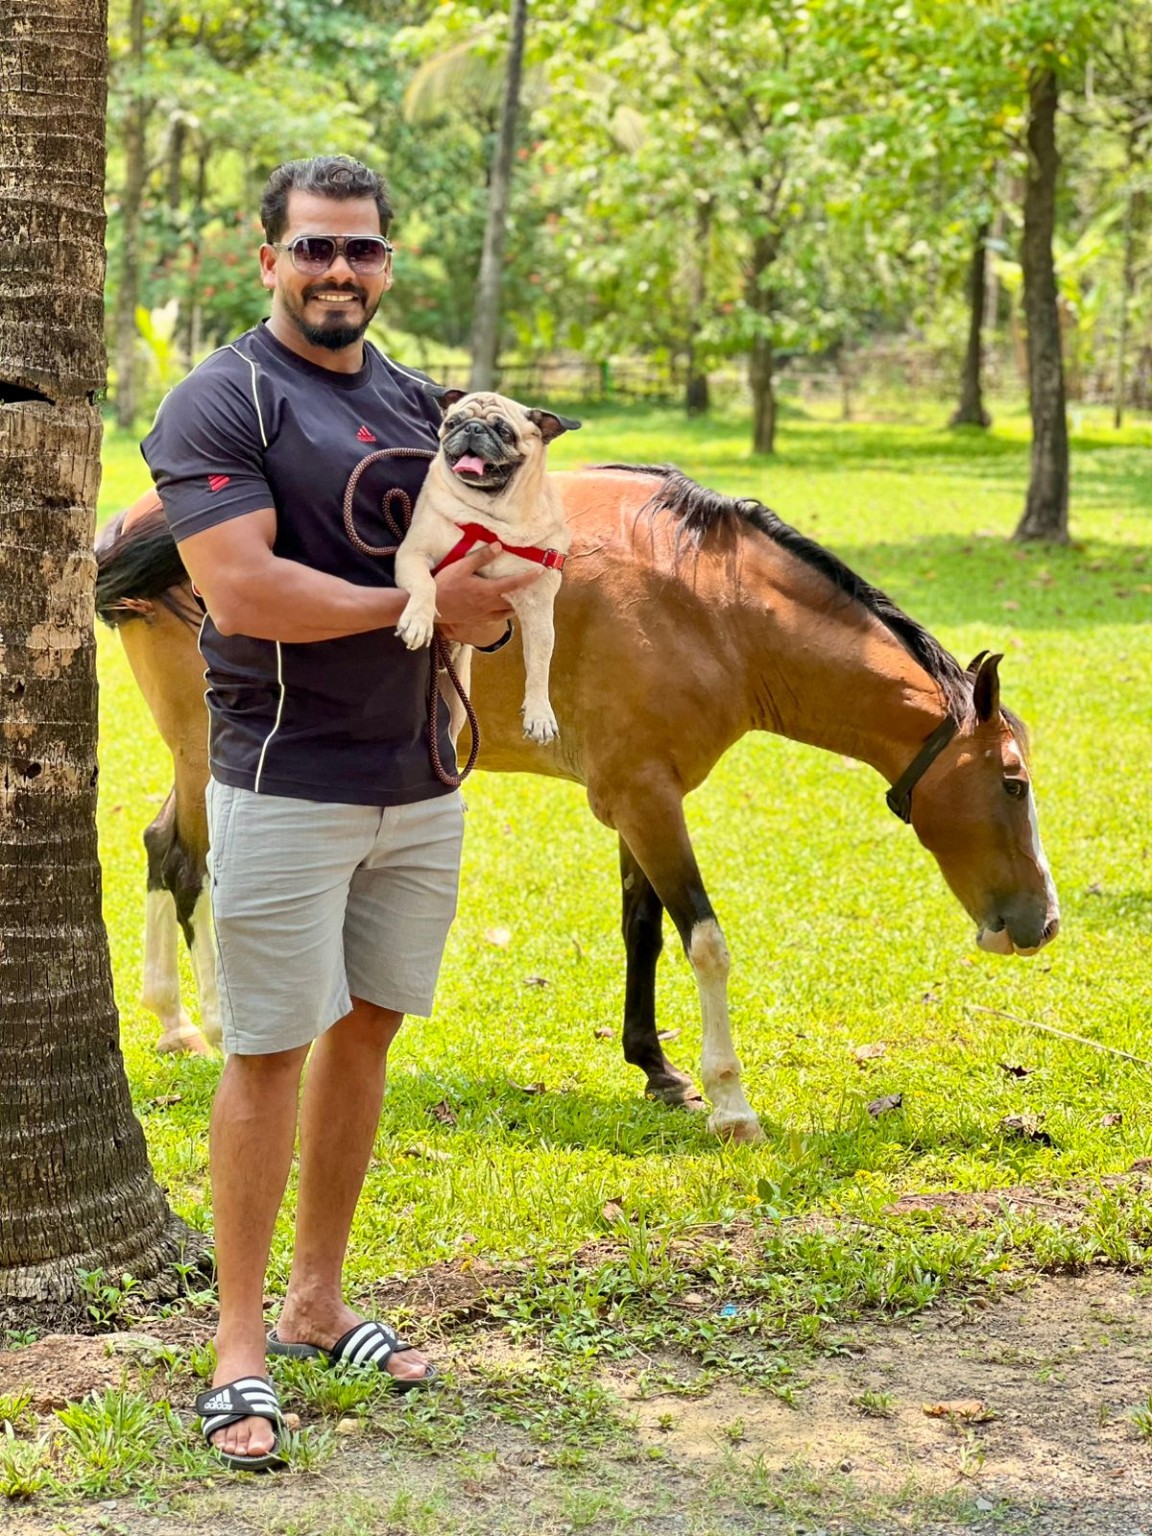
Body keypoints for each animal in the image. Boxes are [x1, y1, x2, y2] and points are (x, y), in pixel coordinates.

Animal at [95, 465, 1060, 1143]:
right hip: (215, 751)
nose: (1041, 923)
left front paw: (656, 1068)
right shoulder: (646, 800)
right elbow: (705, 942)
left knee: (170, 850)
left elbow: (643, 930)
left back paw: (187, 1021)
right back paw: (210, 1020)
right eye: (1013, 781)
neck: (709, 603)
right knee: (194, 863)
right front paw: (730, 1100)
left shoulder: (639, 796)